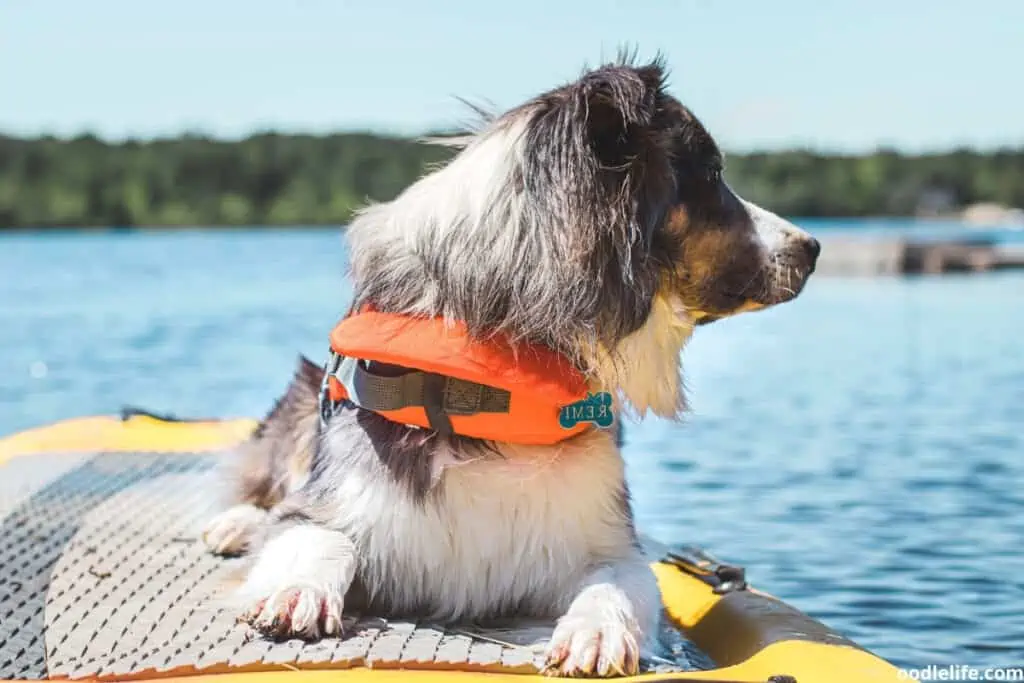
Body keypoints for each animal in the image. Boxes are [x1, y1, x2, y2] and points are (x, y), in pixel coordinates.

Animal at [203, 54, 819, 679]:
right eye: (712, 175)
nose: (813, 248)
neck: (491, 384)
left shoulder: (605, 538)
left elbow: (618, 583)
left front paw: (597, 631)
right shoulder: (339, 499)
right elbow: (314, 534)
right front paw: (296, 591)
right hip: (311, 395)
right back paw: (236, 523)